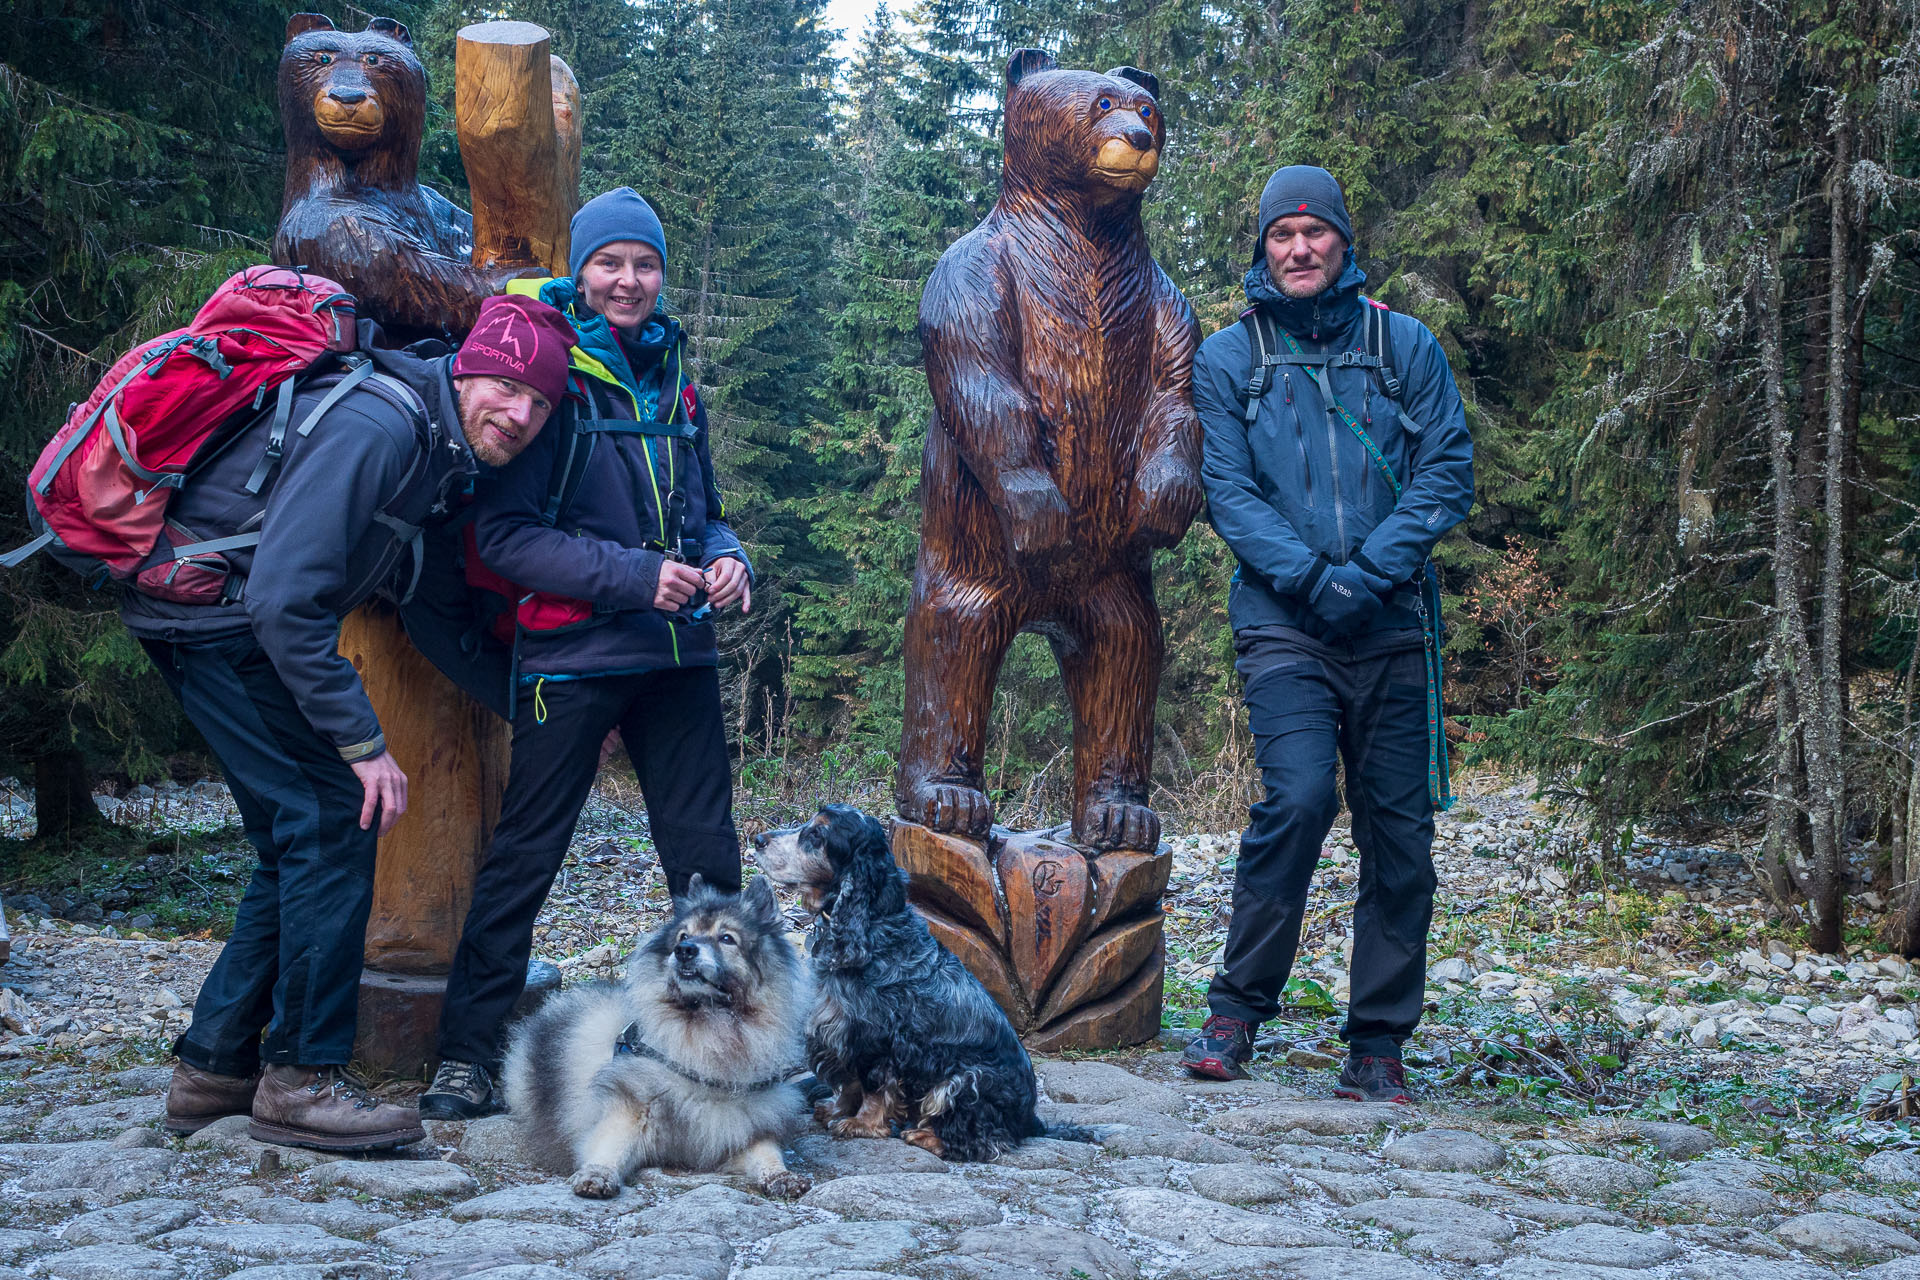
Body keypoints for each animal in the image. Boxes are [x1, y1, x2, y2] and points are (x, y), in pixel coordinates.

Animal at [495, 875, 810, 1197]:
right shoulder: (630, 1109)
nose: (684, 950)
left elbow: (766, 1151)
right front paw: (597, 1174)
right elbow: (611, 1146)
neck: (710, 1026)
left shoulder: (741, 1128)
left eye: (727, 938)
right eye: (683, 935)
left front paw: (781, 1175)